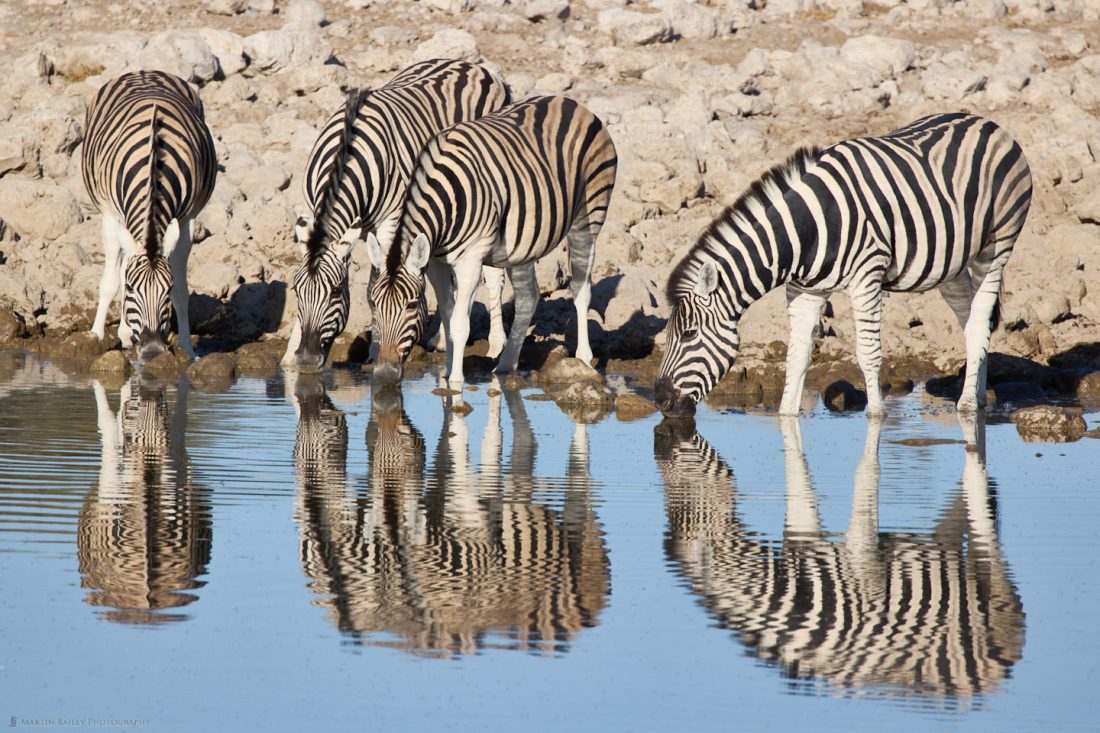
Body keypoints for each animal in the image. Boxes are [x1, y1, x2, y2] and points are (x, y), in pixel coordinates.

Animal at [83, 69, 216, 360]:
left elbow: (183, 288)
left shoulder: (187, 219)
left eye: (167, 289)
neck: (154, 165)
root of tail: (145, 71)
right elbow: (112, 281)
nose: (153, 348)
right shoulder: (110, 215)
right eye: (133, 289)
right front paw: (96, 335)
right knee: (121, 264)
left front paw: (188, 348)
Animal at [281, 58, 508, 372]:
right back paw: (441, 339)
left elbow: (375, 286)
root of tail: (475, 66)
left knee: (494, 276)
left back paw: (496, 345)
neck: (346, 155)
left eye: (336, 291)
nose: (306, 359)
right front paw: (289, 356)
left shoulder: (390, 224)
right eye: (296, 290)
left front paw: (376, 350)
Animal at [365, 94, 616, 391]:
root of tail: (573, 104)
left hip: (588, 219)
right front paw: (447, 372)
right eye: (374, 303)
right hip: (523, 242)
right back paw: (507, 364)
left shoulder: (471, 259)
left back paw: (584, 359)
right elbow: (448, 317)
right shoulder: (437, 263)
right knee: (528, 297)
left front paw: (456, 382)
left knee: (581, 288)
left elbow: (460, 324)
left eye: (412, 306)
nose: (384, 375)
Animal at [651, 111, 1029, 413]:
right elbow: (797, 356)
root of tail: (987, 123)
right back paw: (976, 396)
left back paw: (967, 406)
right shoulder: (804, 291)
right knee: (973, 322)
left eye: (688, 334)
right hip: (951, 265)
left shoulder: (867, 277)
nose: (661, 401)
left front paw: (876, 417)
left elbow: (869, 353)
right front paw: (787, 417)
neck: (807, 232)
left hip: (997, 246)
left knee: (979, 321)